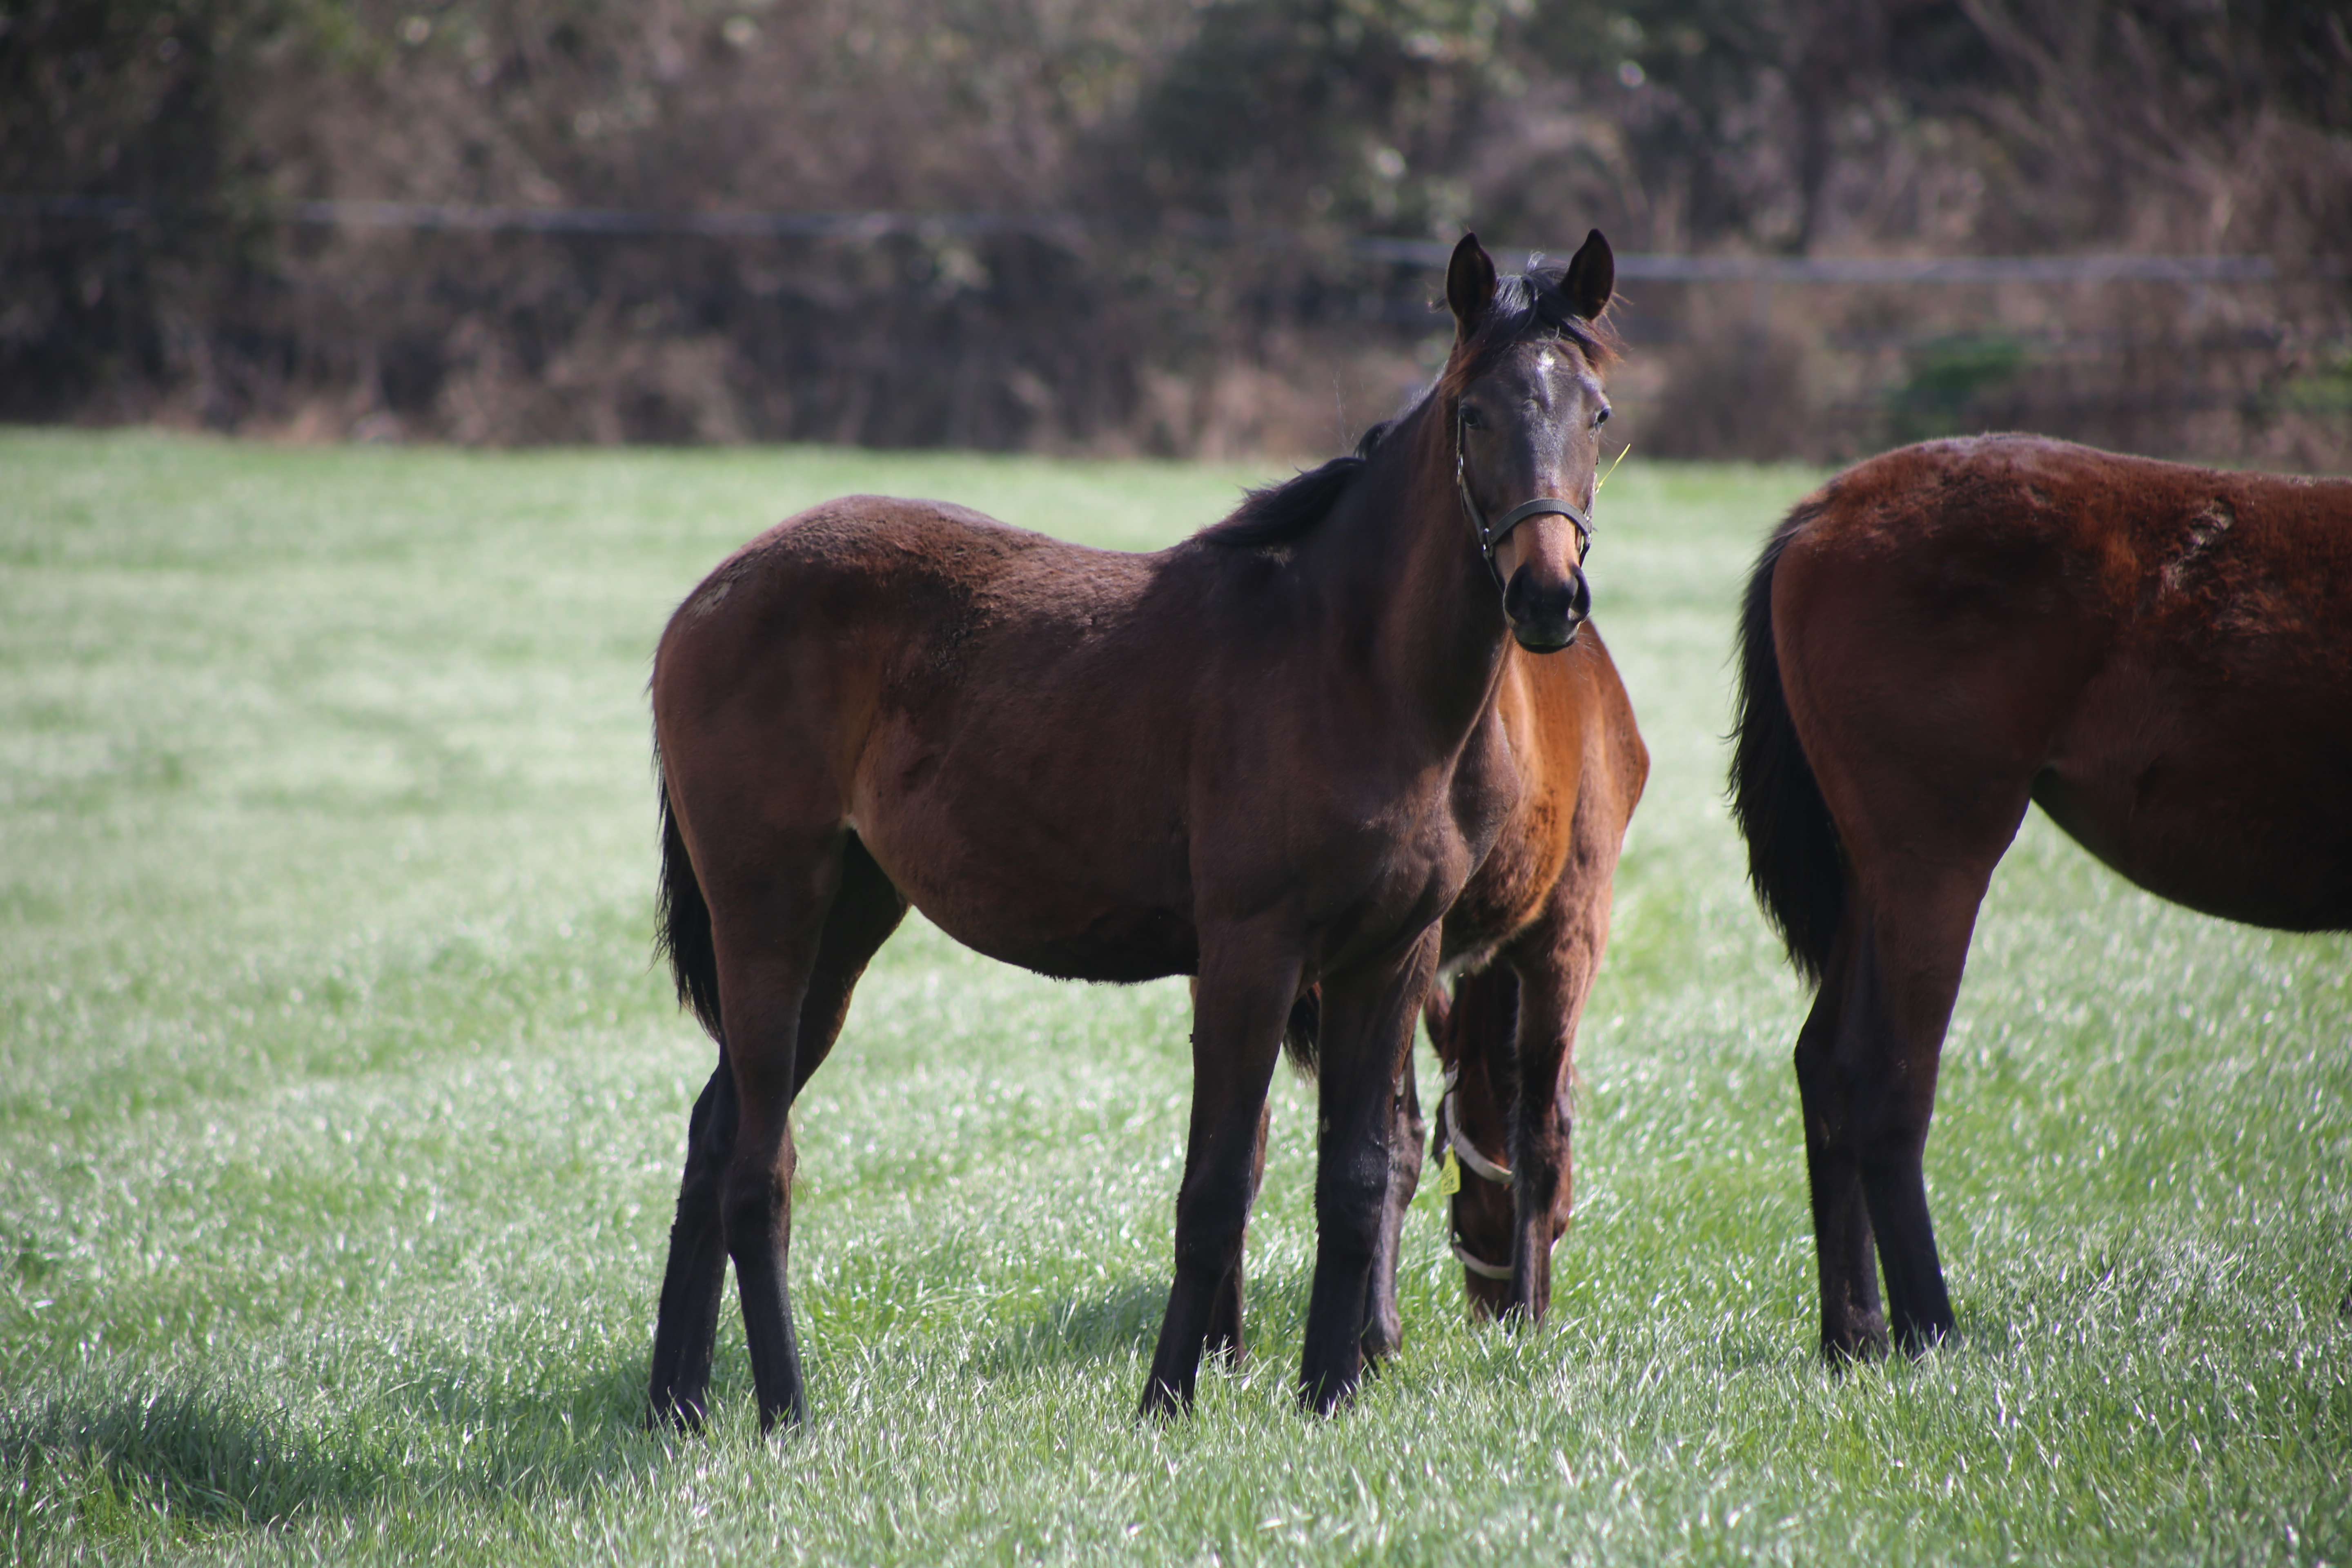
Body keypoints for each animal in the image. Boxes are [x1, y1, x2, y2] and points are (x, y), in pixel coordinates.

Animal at [654, 232, 1627, 1439]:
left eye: (1595, 411)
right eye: (1473, 412)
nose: (1547, 597)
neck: (1353, 667)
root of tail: (705, 602)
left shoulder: (1389, 958)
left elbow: (1357, 1176)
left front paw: (1329, 1394)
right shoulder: (1254, 953)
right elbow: (1213, 1189)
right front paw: (1169, 1400)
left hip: (843, 925)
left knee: (720, 1132)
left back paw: (676, 1403)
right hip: (769, 915)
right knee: (757, 1166)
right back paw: (785, 1411)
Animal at [1731, 432, 2352, 1363]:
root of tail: (1825, 509)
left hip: (1873, 880)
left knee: (1824, 1063)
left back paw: (1856, 1336)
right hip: (1934, 861)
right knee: (1884, 1078)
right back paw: (1930, 1333)